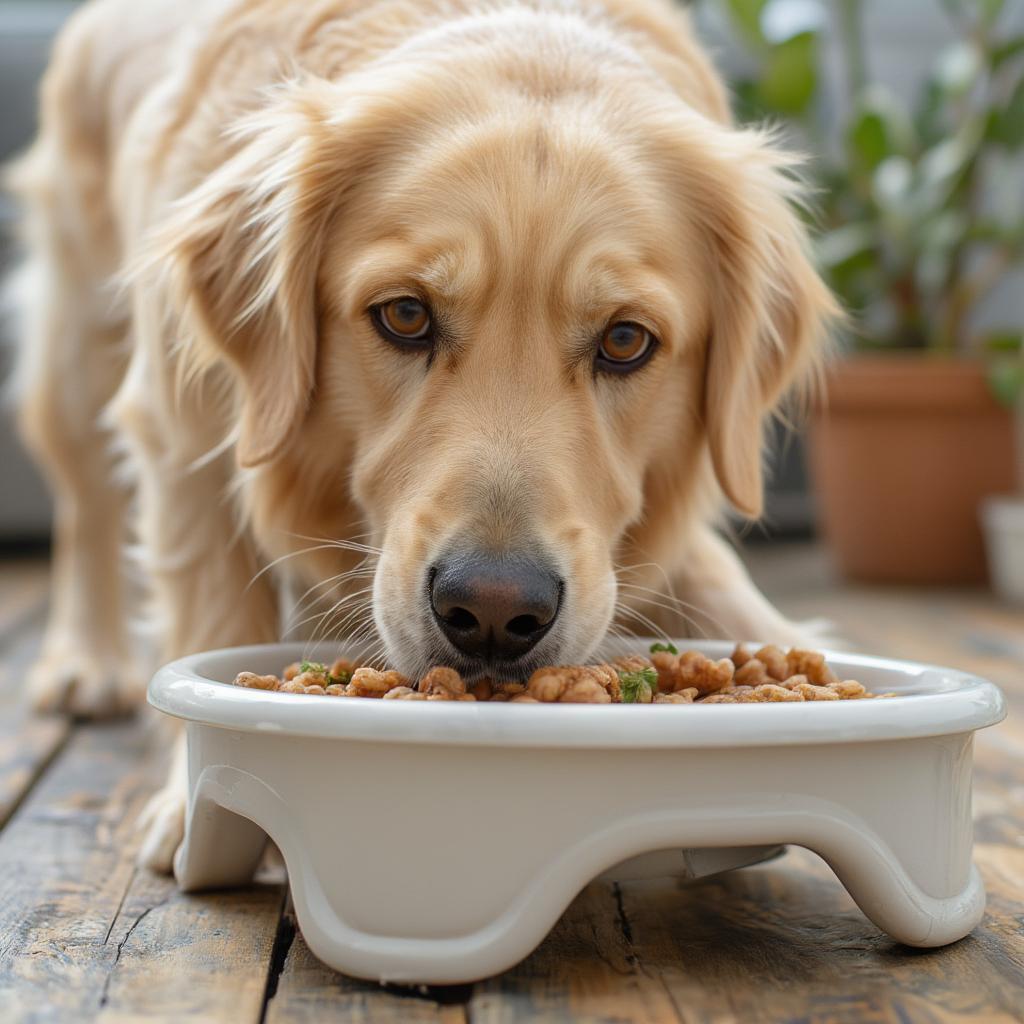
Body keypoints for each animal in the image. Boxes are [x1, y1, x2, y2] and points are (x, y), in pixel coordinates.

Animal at [6, 0, 839, 872]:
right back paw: (84, 660)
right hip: (77, 342)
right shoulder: (180, 423)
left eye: (625, 341)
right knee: (84, 503)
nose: (495, 612)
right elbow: (212, 602)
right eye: (405, 315)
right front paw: (186, 799)